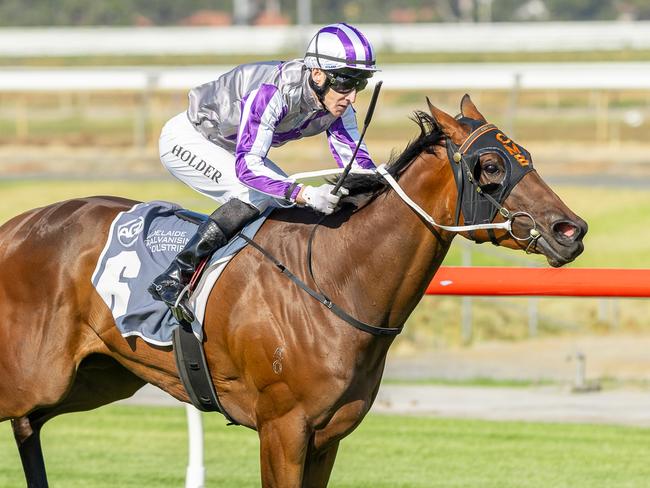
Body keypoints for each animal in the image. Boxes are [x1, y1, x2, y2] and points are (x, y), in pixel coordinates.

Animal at [1, 94, 588, 484]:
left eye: (526, 156)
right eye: (489, 165)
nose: (571, 229)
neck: (334, 278)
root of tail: (15, 227)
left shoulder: (327, 437)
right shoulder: (282, 429)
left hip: (94, 379)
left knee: (29, 427)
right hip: (37, 377)